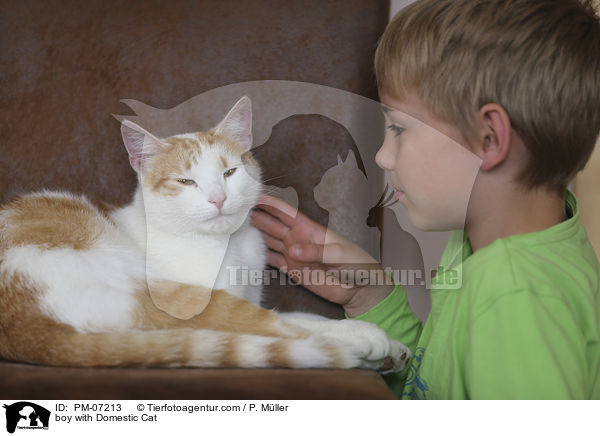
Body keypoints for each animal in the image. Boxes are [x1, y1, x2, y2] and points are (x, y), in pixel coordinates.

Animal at [0, 95, 410, 372]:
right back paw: (363, 343)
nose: (217, 197)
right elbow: (291, 322)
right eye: (185, 181)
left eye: (229, 172)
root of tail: (27, 333)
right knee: (274, 329)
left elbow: (305, 315)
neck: (230, 246)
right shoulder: (200, 299)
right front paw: (371, 338)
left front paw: (395, 345)